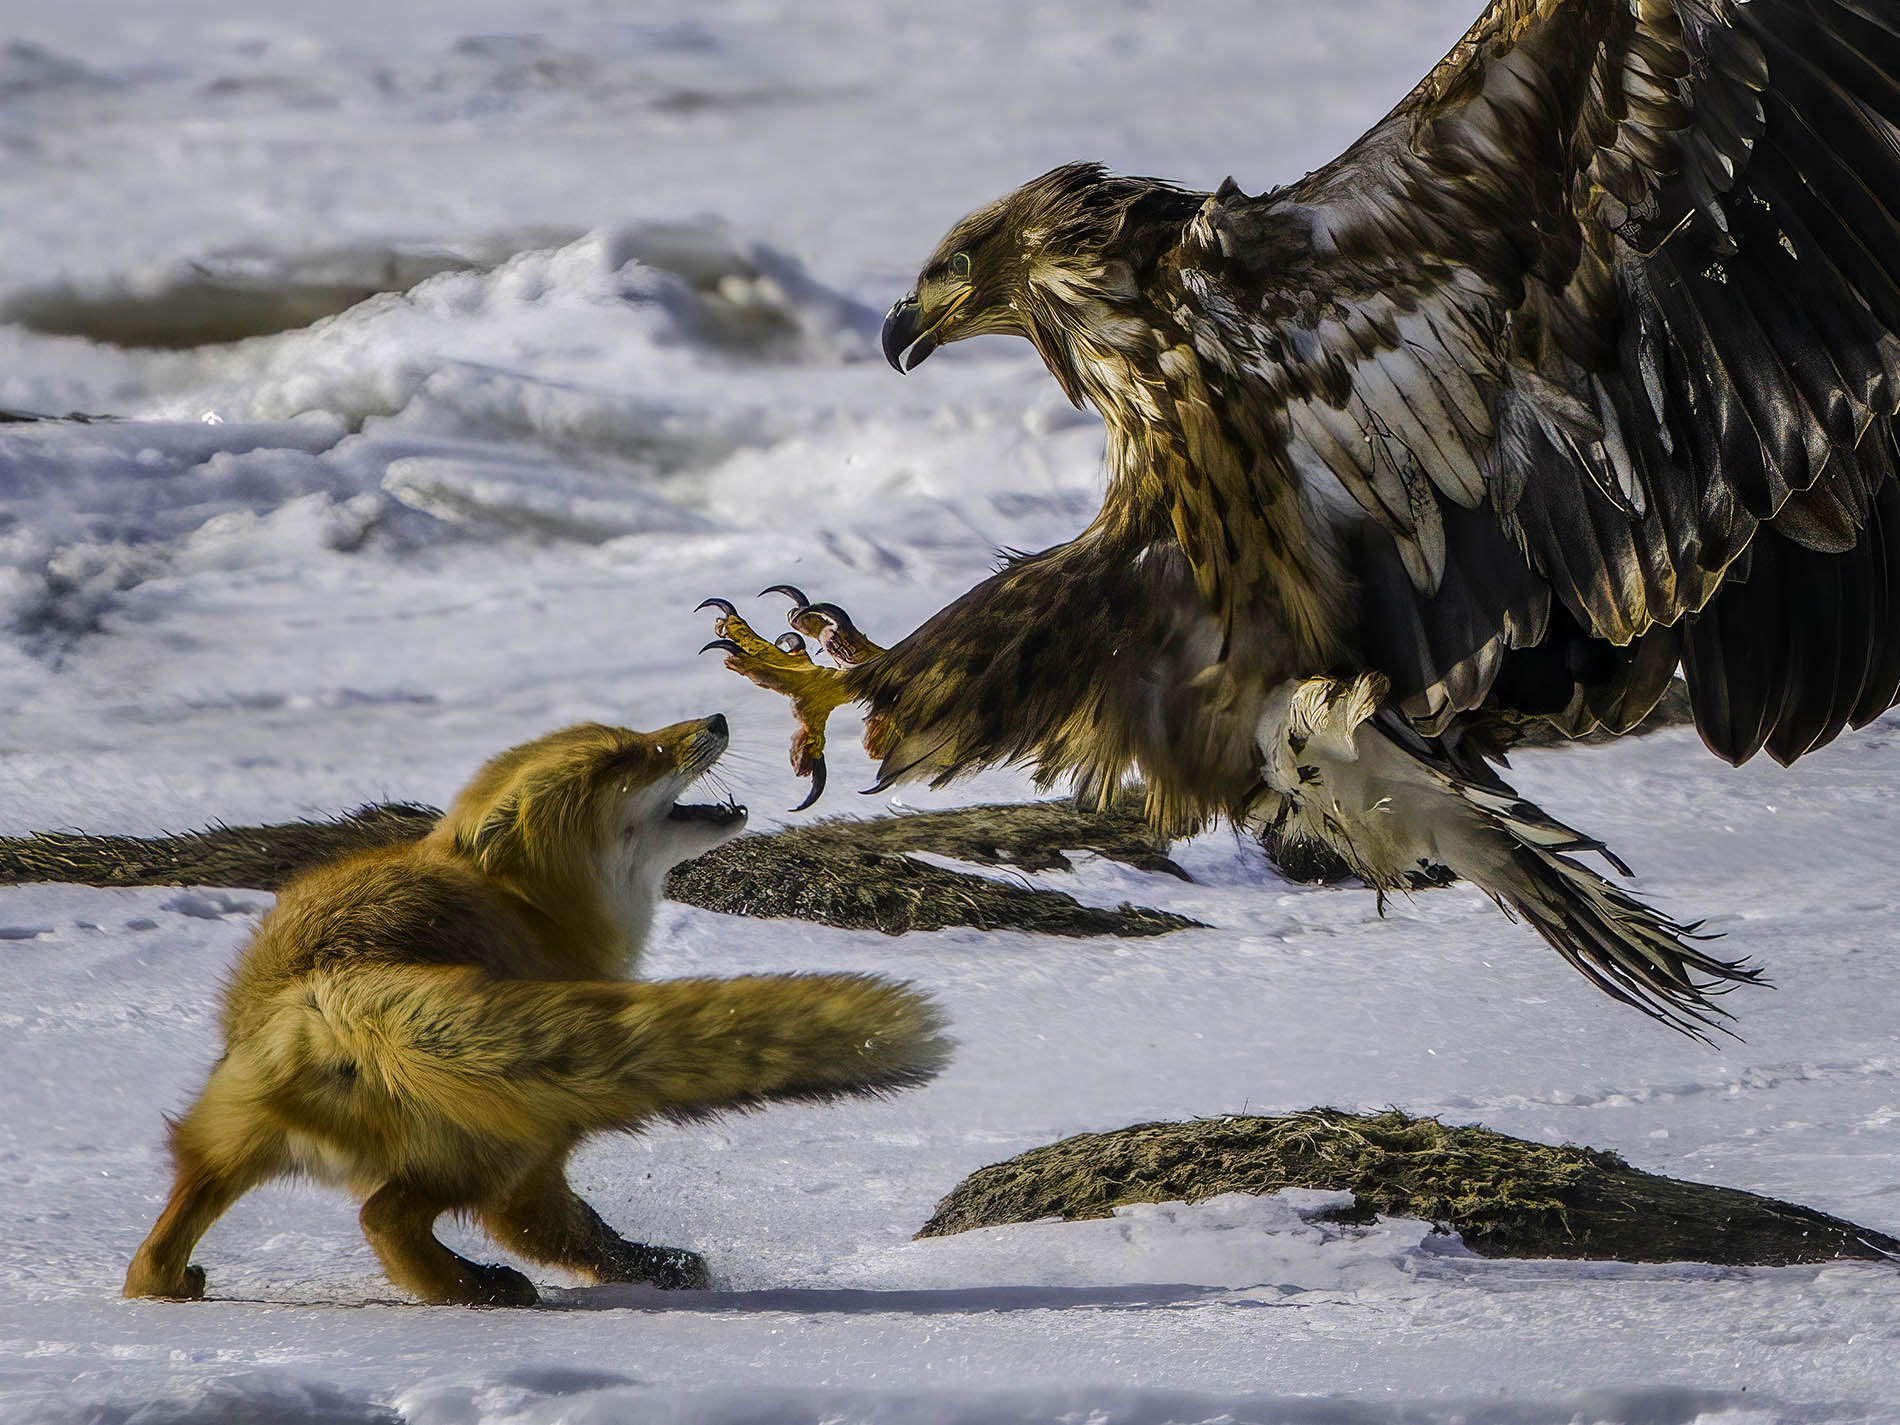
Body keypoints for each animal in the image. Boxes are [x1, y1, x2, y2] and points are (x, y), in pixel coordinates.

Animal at [122, 713, 949, 1307]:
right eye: (622, 758)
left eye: (632, 733)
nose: (715, 716)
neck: (534, 911)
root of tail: (332, 986)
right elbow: (564, 1229)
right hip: (516, 1137)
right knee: (411, 1219)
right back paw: (507, 1286)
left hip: (230, 1139)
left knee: (159, 1245)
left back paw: (171, 1286)